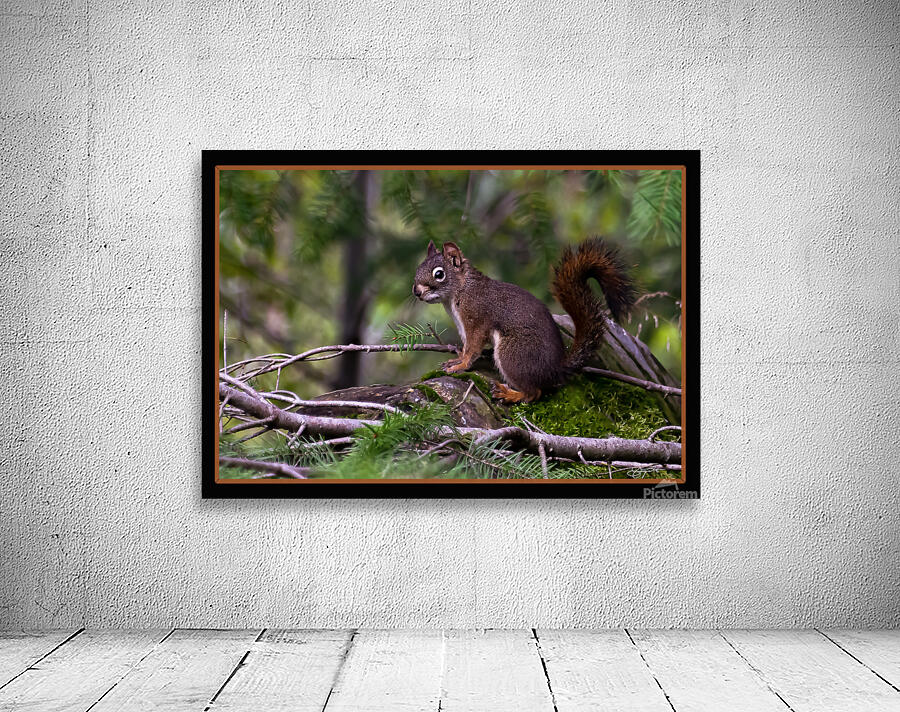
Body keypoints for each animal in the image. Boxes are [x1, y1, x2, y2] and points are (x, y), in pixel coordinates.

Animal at [413, 238, 636, 403]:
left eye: (439, 274)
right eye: (418, 269)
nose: (416, 292)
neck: (460, 291)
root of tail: (555, 370)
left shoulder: (476, 319)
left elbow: (473, 347)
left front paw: (461, 365)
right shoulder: (463, 326)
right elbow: (466, 346)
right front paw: (456, 359)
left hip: (513, 354)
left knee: (534, 393)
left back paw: (509, 394)